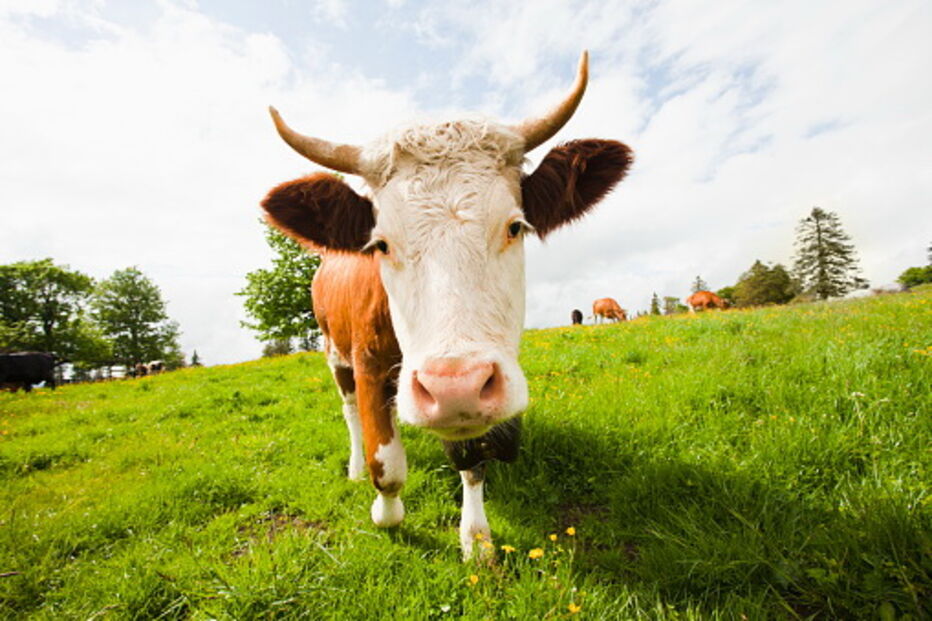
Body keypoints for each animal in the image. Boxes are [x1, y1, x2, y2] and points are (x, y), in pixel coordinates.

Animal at [261, 52, 633, 559]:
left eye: (515, 226)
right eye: (381, 244)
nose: (454, 388)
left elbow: (471, 460)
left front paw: (476, 539)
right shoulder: (368, 364)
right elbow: (387, 465)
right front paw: (386, 514)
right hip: (333, 352)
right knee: (351, 412)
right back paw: (354, 466)